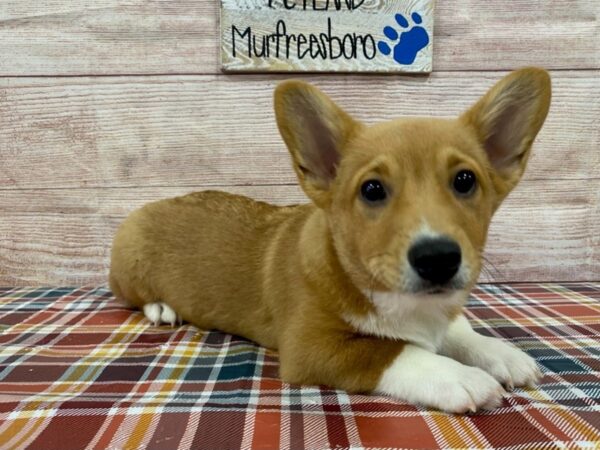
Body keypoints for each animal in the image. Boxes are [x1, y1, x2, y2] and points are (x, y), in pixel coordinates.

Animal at [110, 68, 552, 414]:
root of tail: (155, 202)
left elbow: (457, 329)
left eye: (464, 180)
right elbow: (392, 350)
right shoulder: (312, 347)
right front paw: (458, 376)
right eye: (372, 189)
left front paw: (498, 352)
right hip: (131, 268)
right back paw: (161, 307)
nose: (438, 258)